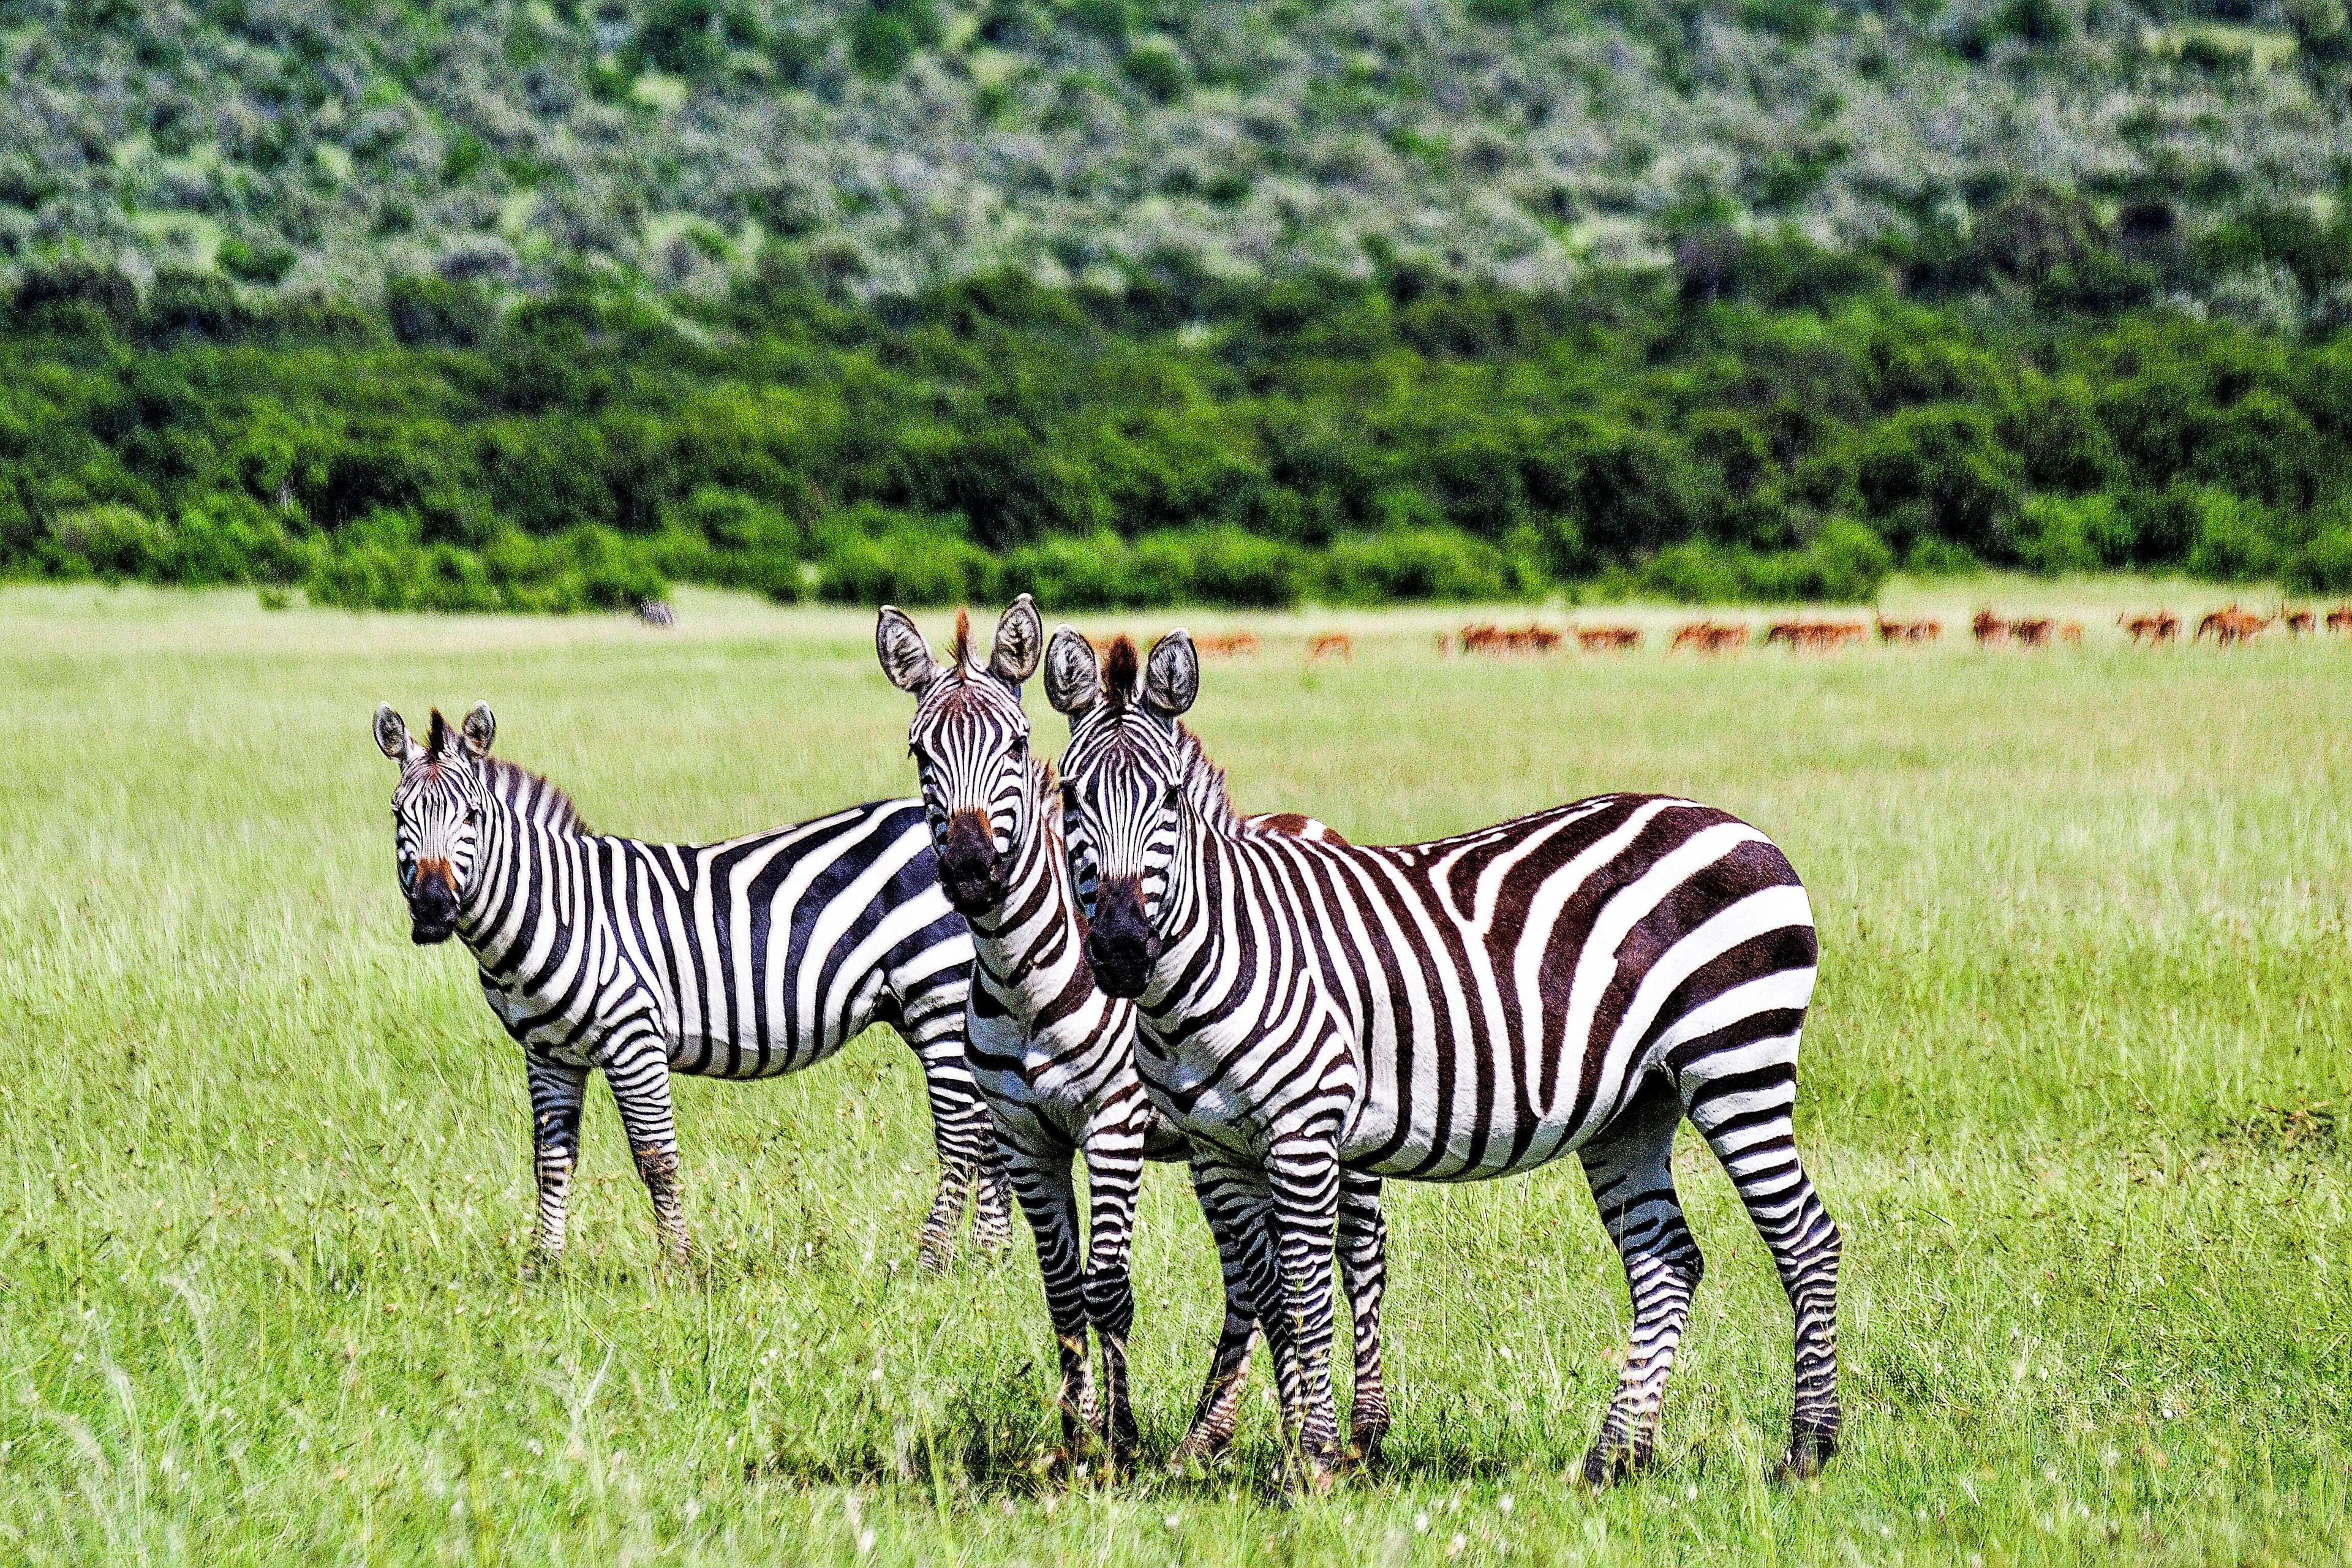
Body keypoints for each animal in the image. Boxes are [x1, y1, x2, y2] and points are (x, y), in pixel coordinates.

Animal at [369, 705, 1011, 1269]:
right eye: (399, 817)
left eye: (472, 818)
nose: (432, 909)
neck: (555, 907)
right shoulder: (548, 1053)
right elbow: (552, 1162)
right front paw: (542, 1268)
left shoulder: (633, 1037)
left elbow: (656, 1159)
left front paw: (678, 1267)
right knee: (989, 1130)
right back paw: (988, 1262)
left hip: (939, 996)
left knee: (965, 1135)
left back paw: (935, 1263)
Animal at [880, 597, 1392, 1476]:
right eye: (920, 750)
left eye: (1015, 743)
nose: (975, 870)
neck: (1024, 979)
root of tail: (1309, 822)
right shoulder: (1025, 1136)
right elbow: (1061, 1290)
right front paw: (1076, 1437)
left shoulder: (1114, 1123)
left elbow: (1106, 1288)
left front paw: (1117, 1441)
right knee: (1251, 1284)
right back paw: (1210, 1433)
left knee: (1358, 1255)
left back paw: (1359, 1428)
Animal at [1044, 630, 1834, 1495]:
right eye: (1071, 799)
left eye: (1169, 803)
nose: (1122, 951)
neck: (1218, 957)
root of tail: (1743, 828)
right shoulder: (1217, 1152)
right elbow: (1267, 1298)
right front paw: (1288, 1453)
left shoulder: (1303, 1132)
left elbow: (1306, 1294)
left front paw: (1315, 1460)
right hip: (1635, 1106)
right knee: (1666, 1264)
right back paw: (1613, 1456)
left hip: (1736, 1060)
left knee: (1806, 1237)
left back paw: (1808, 1449)